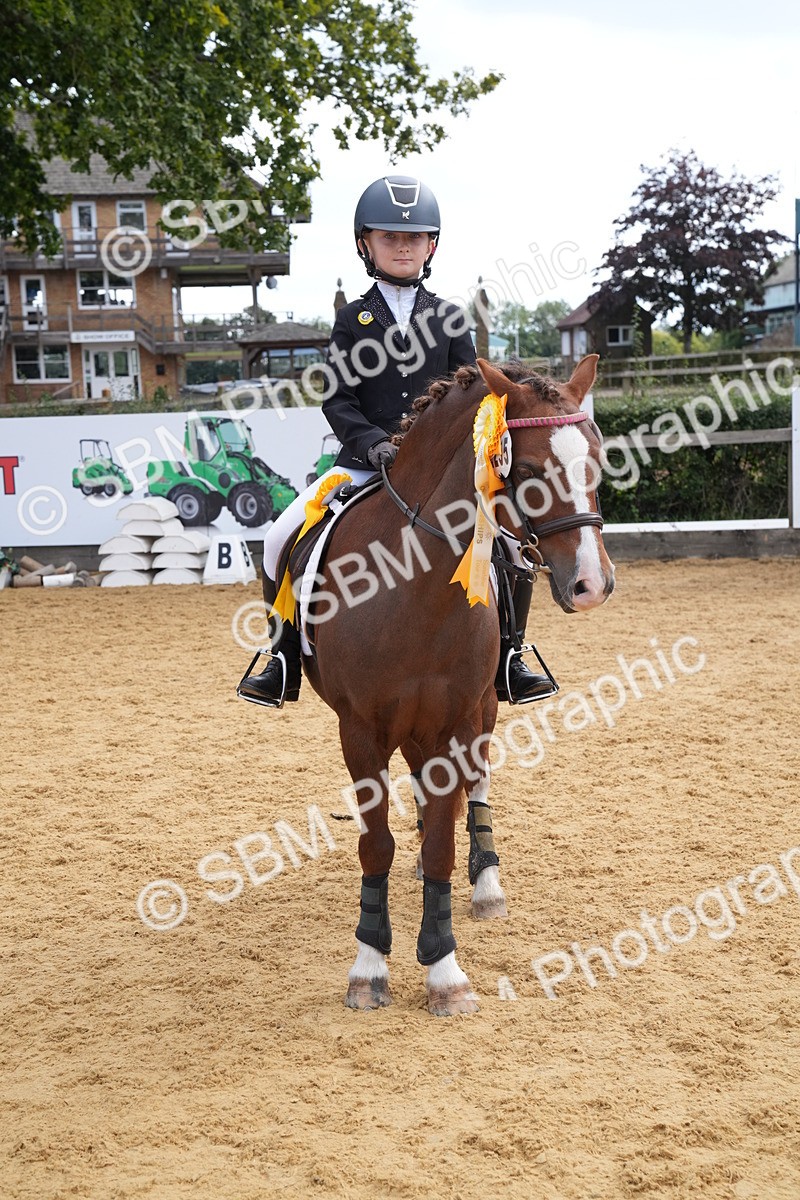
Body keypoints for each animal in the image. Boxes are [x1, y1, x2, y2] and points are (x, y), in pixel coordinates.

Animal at [300, 354, 614, 1015]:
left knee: (477, 784)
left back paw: (487, 884)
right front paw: (369, 967)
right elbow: (377, 846)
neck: (410, 588)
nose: (592, 584)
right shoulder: (360, 730)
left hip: (481, 709)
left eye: (596, 462)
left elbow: (444, 842)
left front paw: (444, 971)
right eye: (526, 469)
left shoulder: (452, 720)